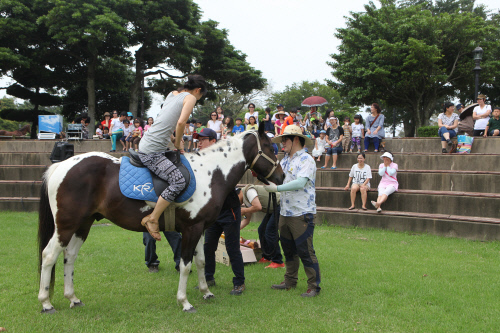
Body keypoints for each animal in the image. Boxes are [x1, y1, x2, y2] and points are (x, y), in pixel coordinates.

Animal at [37, 124, 284, 312]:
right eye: (270, 147)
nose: (282, 176)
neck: (210, 173)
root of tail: (61, 166)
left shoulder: (200, 229)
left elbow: (202, 261)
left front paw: (206, 292)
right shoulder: (191, 229)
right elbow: (185, 264)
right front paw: (184, 302)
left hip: (83, 225)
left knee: (69, 256)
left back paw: (73, 298)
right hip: (66, 225)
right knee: (49, 256)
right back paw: (46, 303)